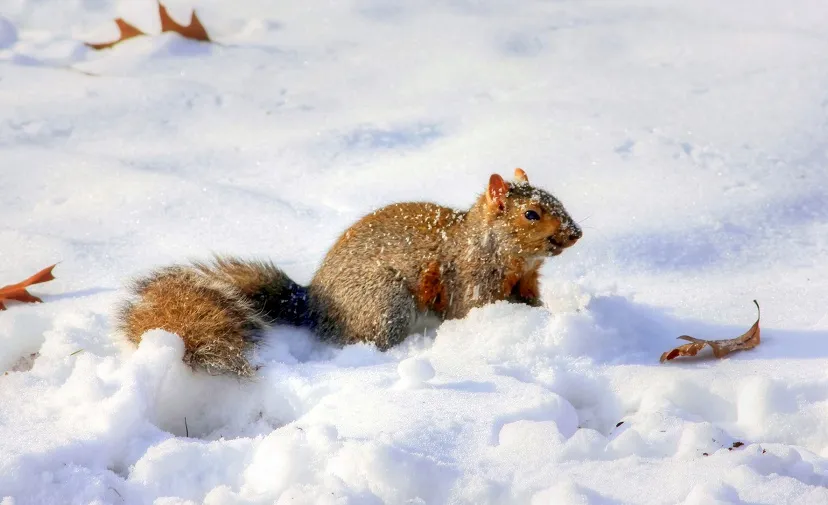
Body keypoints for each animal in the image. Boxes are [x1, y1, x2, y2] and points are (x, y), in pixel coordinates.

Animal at [117, 169, 582, 377]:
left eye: (558, 199)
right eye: (531, 214)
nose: (576, 233)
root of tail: (313, 303)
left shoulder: (526, 283)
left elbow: (533, 301)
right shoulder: (469, 281)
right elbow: (474, 309)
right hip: (385, 304)